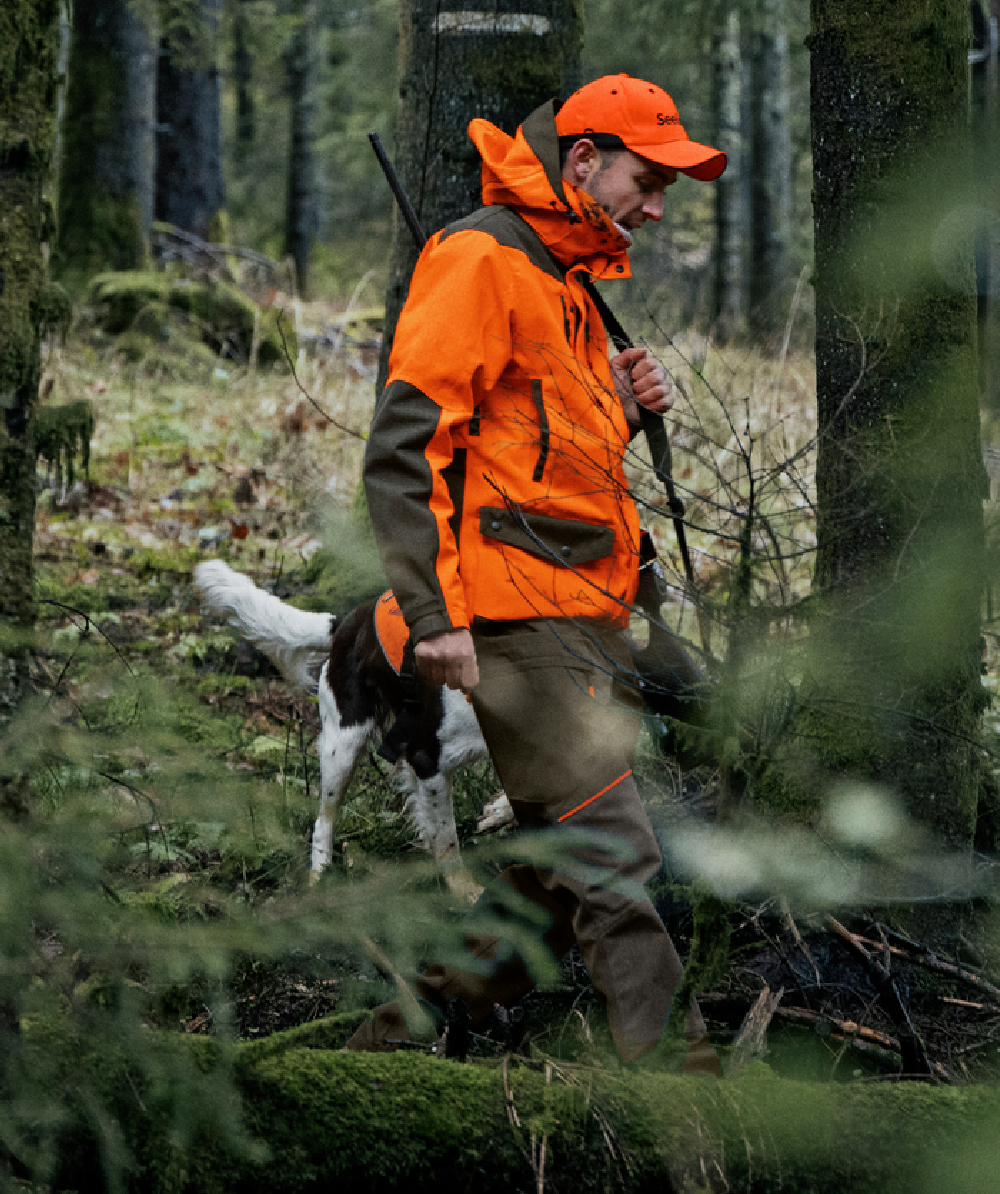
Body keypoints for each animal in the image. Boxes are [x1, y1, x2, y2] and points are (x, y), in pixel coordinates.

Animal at [193, 554, 706, 897]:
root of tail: (346, 623)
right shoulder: (427, 759)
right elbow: (445, 839)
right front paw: (464, 892)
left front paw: (500, 812)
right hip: (343, 742)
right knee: (323, 819)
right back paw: (319, 878)